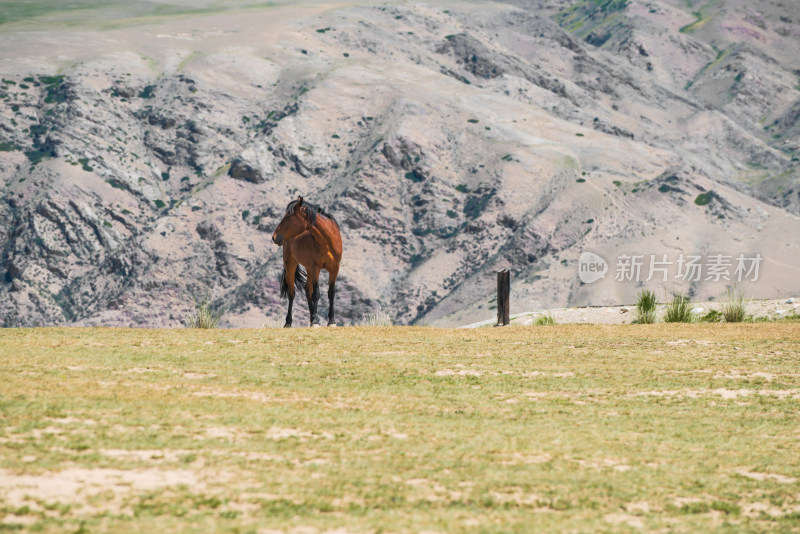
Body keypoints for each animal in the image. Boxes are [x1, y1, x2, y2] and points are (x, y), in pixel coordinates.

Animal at [274, 198, 342, 328]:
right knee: (292, 293)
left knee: (307, 290)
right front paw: (316, 321)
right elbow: (316, 293)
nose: (274, 237)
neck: (327, 242)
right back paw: (289, 322)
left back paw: (311, 319)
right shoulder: (316, 268)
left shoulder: (334, 268)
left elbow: (331, 293)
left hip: (309, 268)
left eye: (288, 217)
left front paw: (331, 321)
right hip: (291, 265)